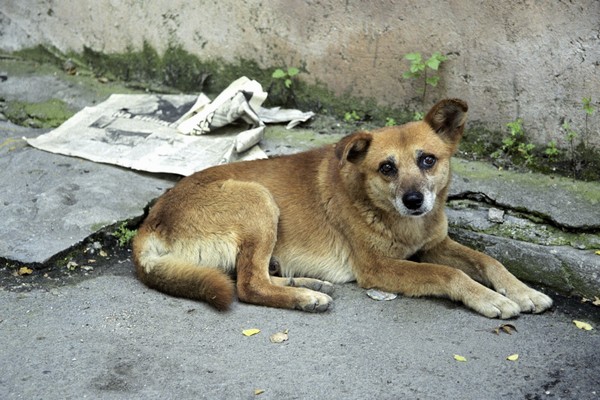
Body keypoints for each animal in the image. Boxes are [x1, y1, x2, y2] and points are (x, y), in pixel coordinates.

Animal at [132, 97, 552, 318]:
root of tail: (150, 222)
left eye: (428, 160)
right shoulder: (378, 268)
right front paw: (490, 298)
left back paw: (307, 283)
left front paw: (523, 291)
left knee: (251, 277)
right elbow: (448, 274)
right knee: (248, 285)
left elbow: (488, 260)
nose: (414, 201)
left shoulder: (435, 245)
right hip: (258, 200)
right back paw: (305, 298)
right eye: (387, 168)